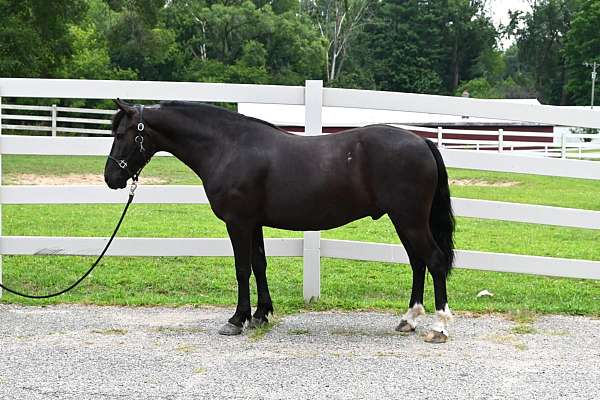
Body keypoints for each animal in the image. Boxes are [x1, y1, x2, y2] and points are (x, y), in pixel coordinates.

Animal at [104, 99, 454, 344]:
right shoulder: (254, 223)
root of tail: (423, 142)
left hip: (409, 219)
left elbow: (242, 269)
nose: (111, 178)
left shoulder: (238, 223)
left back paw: (438, 327)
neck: (228, 147)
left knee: (434, 261)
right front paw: (261, 315)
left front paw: (237, 320)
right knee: (418, 263)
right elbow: (259, 264)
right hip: (405, 220)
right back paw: (409, 319)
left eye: (121, 134)